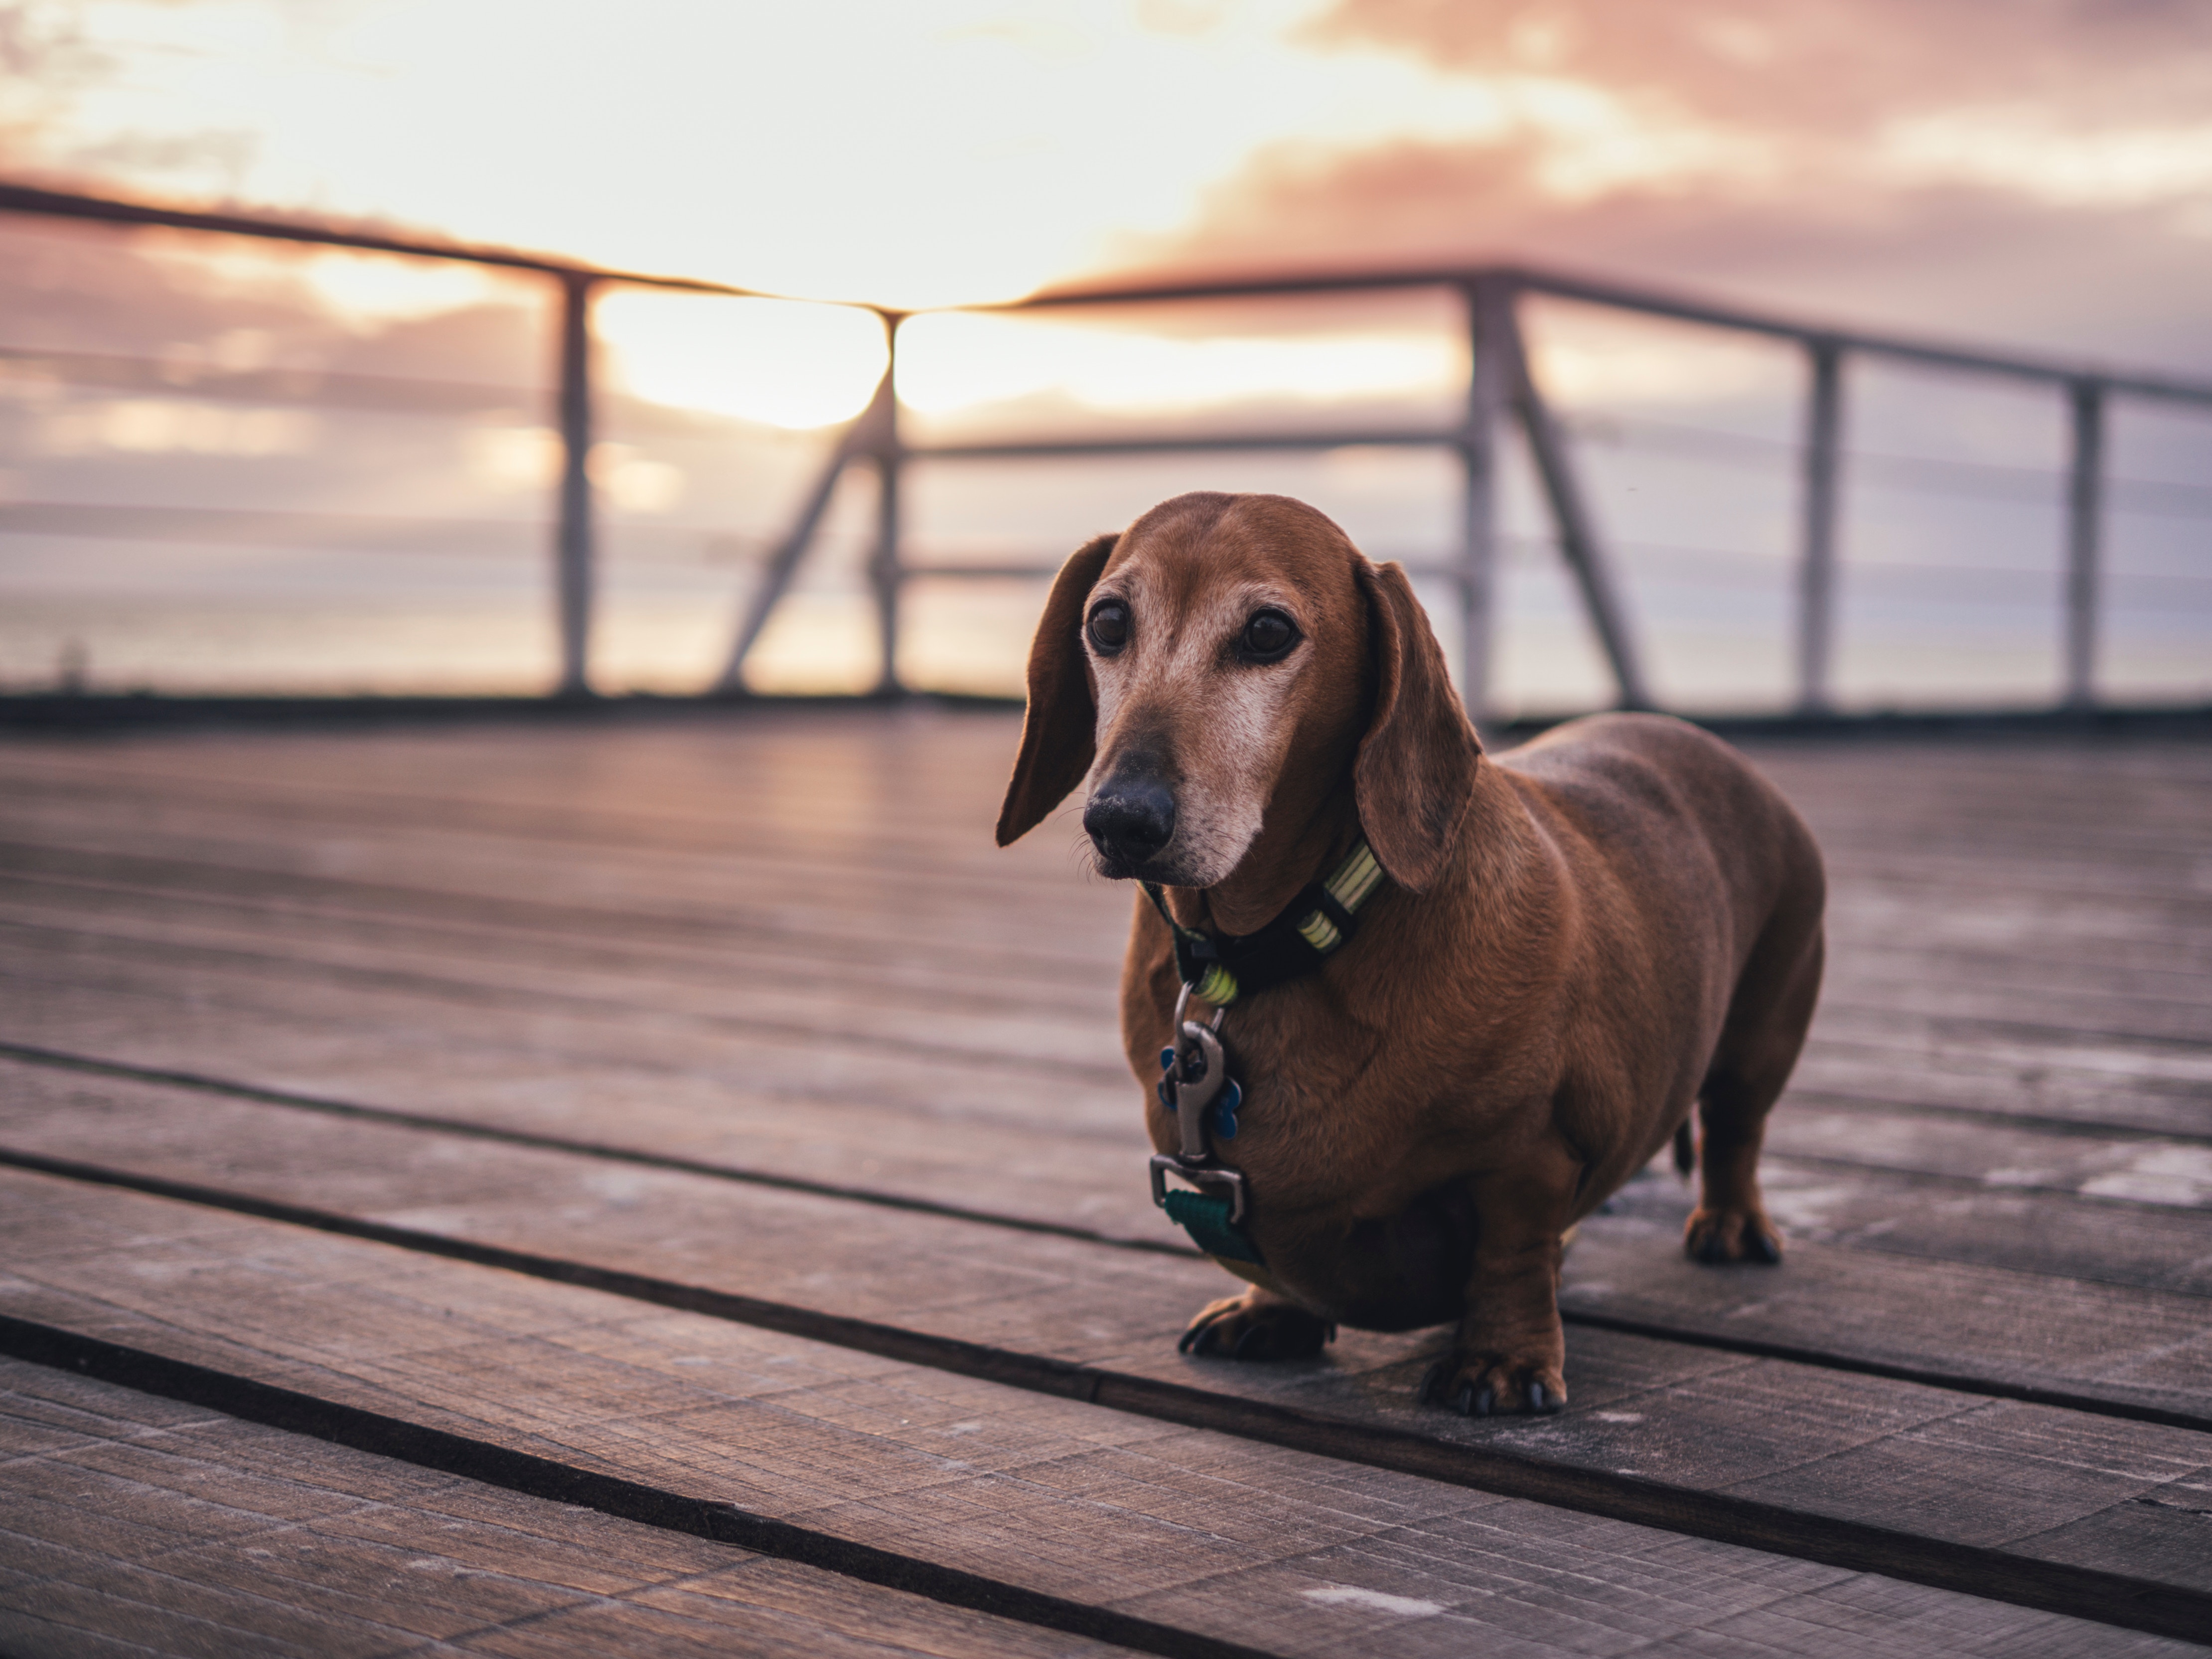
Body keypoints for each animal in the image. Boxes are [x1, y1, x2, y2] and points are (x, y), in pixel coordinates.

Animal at [995, 493, 1822, 1415]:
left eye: (1267, 632)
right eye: (1106, 622)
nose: (1120, 820)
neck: (1269, 950)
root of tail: (1706, 744)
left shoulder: (1529, 1155)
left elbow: (1512, 1253)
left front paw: (1500, 1360)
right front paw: (1267, 1309)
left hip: (1764, 1026)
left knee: (1735, 1129)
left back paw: (1729, 1223)